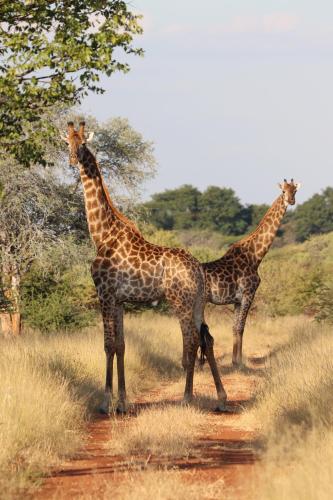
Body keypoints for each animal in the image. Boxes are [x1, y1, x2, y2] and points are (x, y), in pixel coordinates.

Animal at [61, 122, 226, 414]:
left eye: (83, 143)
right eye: (67, 142)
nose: (72, 158)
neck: (102, 235)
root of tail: (198, 270)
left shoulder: (104, 294)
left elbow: (107, 344)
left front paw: (106, 403)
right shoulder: (119, 300)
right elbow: (121, 345)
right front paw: (123, 403)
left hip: (180, 301)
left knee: (191, 341)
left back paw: (187, 398)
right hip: (198, 303)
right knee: (206, 339)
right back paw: (221, 398)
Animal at [201, 180, 300, 368]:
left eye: (295, 191)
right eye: (283, 191)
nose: (291, 201)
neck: (255, 256)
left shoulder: (237, 300)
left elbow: (235, 328)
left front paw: (235, 360)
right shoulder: (249, 293)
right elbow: (241, 327)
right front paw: (238, 362)